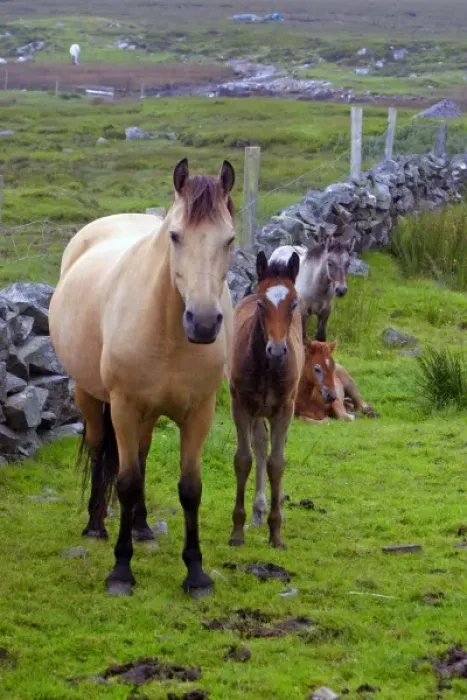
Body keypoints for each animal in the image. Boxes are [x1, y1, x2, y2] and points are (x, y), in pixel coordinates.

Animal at [49, 158, 236, 598]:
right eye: (175, 236)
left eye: (230, 240)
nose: (203, 323)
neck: (166, 328)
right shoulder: (124, 406)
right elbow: (127, 482)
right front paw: (121, 570)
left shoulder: (199, 412)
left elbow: (190, 488)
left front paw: (196, 574)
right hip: (91, 396)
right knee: (100, 449)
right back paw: (96, 525)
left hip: (149, 414)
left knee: (144, 454)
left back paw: (142, 526)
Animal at [228, 251, 303, 548]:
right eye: (262, 304)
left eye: (293, 303)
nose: (277, 350)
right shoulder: (240, 405)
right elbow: (244, 460)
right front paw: (237, 531)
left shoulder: (285, 409)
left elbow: (277, 463)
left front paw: (276, 532)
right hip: (257, 410)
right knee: (259, 446)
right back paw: (257, 512)